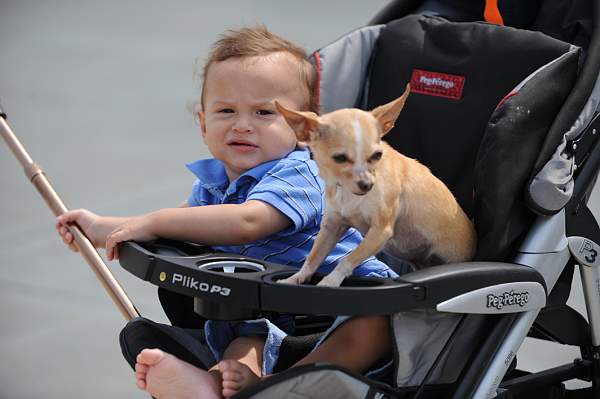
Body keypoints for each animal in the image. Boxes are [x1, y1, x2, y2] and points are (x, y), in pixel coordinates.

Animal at [274, 85, 476, 288]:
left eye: (377, 155)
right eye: (340, 158)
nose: (367, 185)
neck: (348, 194)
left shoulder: (380, 232)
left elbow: (347, 260)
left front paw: (329, 282)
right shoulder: (332, 227)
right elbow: (313, 258)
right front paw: (294, 278)